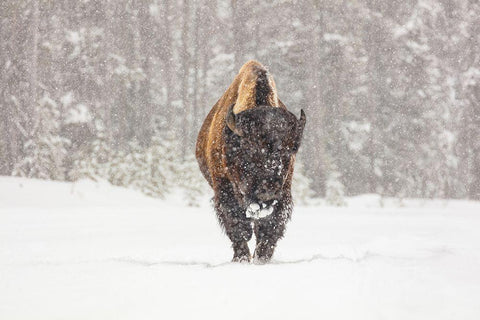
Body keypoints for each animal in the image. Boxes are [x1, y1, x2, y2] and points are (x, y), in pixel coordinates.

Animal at [196, 59, 306, 262]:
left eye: (289, 152)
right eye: (249, 151)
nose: (267, 194)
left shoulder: (284, 192)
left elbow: (270, 228)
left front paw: (261, 258)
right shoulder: (223, 187)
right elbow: (237, 225)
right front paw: (241, 258)